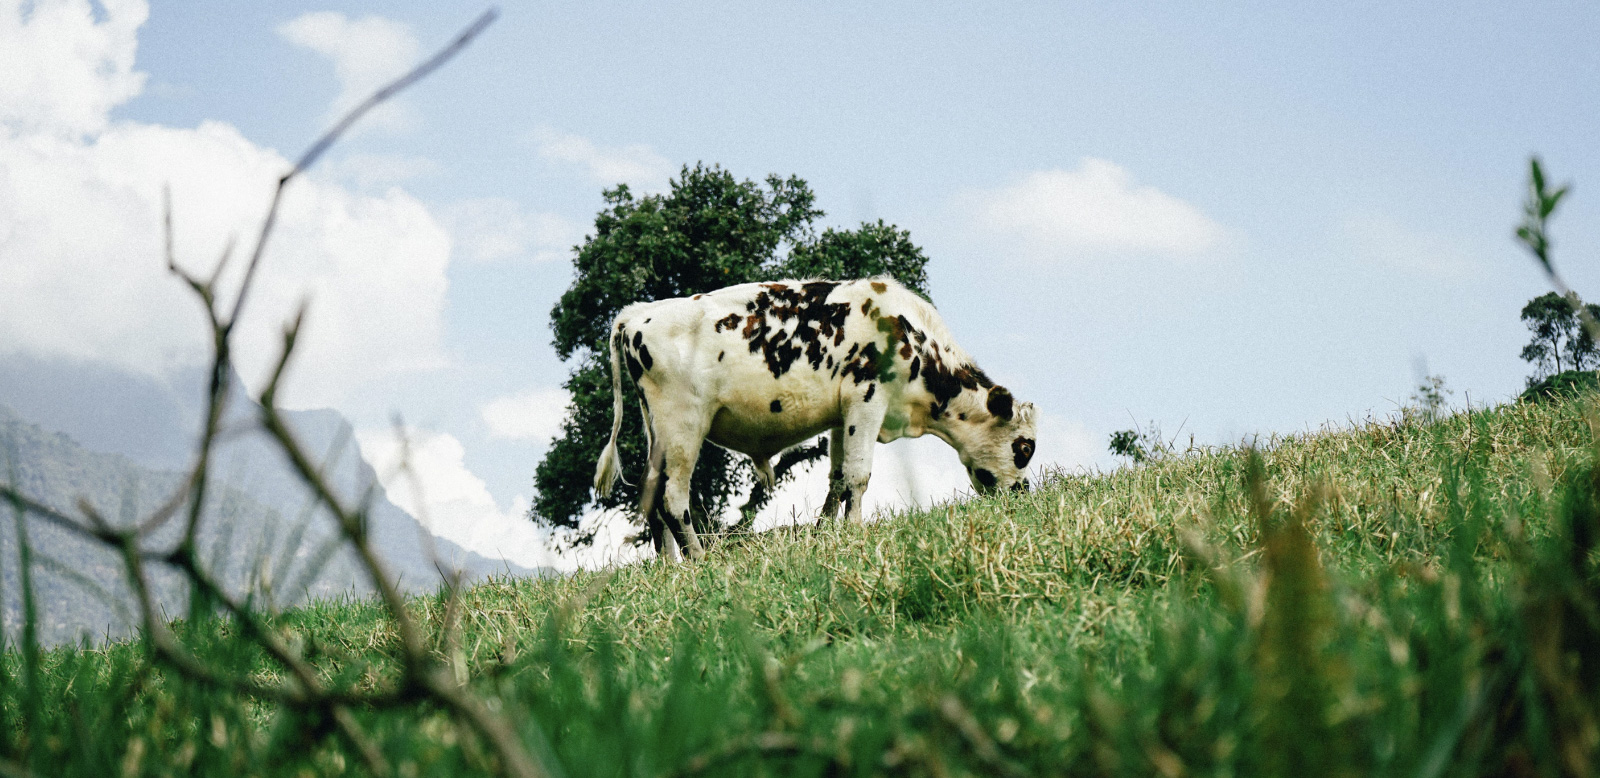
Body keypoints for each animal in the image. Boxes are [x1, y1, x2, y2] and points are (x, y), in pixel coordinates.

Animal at [592, 276, 1036, 563]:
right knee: (672, 496)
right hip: (683, 423)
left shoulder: (843, 414)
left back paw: (669, 568)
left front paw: (826, 533)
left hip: (658, 430)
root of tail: (639, 313)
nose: (1024, 496)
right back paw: (699, 560)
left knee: (650, 493)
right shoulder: (866, 398)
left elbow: (837, 478)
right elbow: (858, 475)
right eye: (1025, 447)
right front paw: (855, 533)